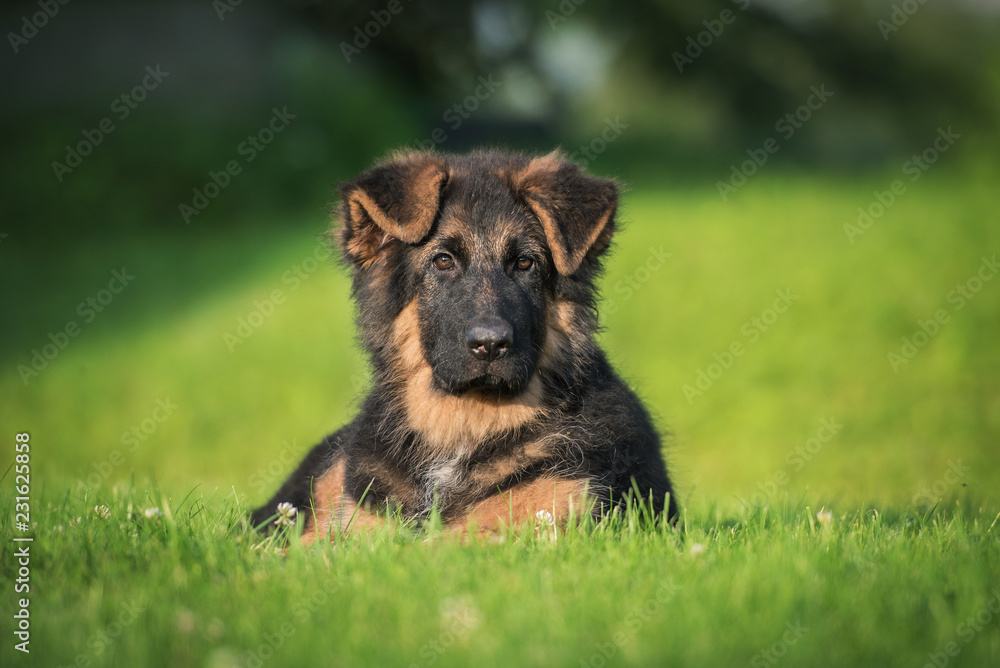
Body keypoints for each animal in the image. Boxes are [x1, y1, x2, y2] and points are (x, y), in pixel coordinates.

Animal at [252, 147, 680, 544]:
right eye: (443, 261)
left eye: (525, 263)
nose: (490, 345)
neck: (463, 428)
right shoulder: (357, 520)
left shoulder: (557, 506)